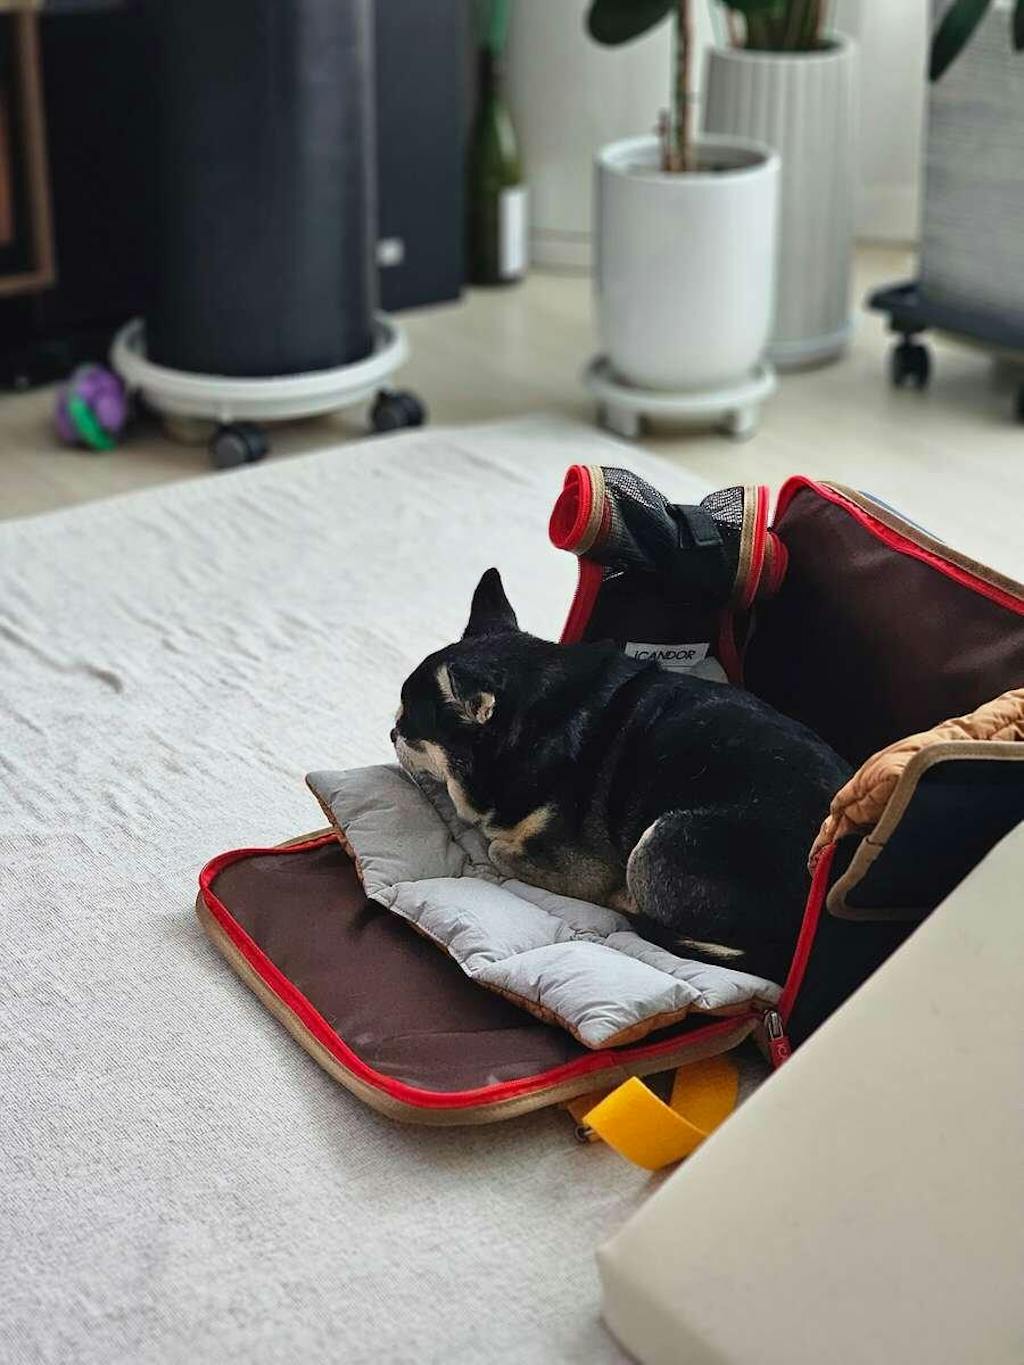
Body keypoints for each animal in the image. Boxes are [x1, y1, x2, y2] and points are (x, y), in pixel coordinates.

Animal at [393, 568, 851, 983]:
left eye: (410, 727)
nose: (391, 731)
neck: (538, 720)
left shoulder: (582, 866)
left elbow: (496, 848)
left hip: (660, 841)